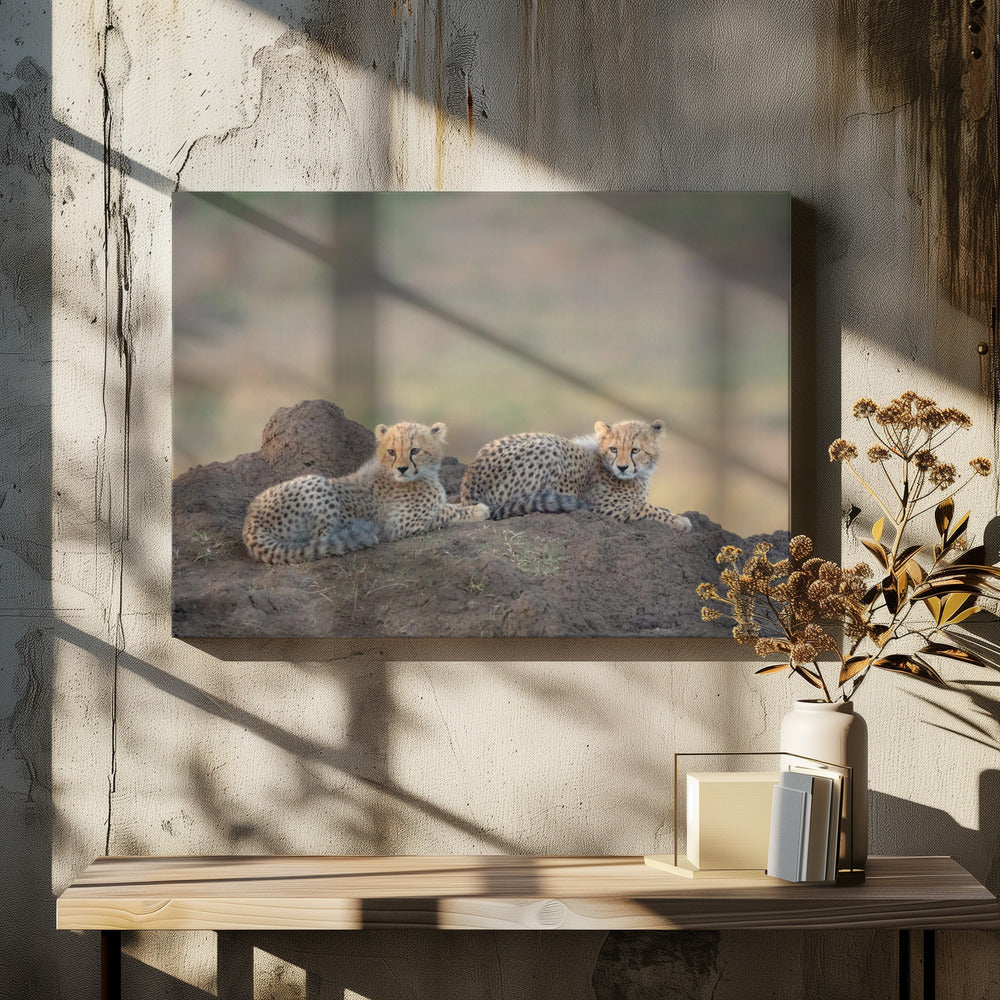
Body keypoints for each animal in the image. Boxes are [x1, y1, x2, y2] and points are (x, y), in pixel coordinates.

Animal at [243, 421, 490, 564]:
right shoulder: (400, 525)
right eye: (391, 451)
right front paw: (478, 511)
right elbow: (446, 514)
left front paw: (471, 507)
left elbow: (449, 506)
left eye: (414, 450)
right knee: (319, 541)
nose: (402, 468)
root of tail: (250, 518)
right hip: (316, 483)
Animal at [460, 418, 692, 529]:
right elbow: (646, 508)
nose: (622, 467)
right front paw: (680, 521)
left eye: (635, 450)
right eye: (614, 449)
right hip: (549, 447)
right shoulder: (603, 508)